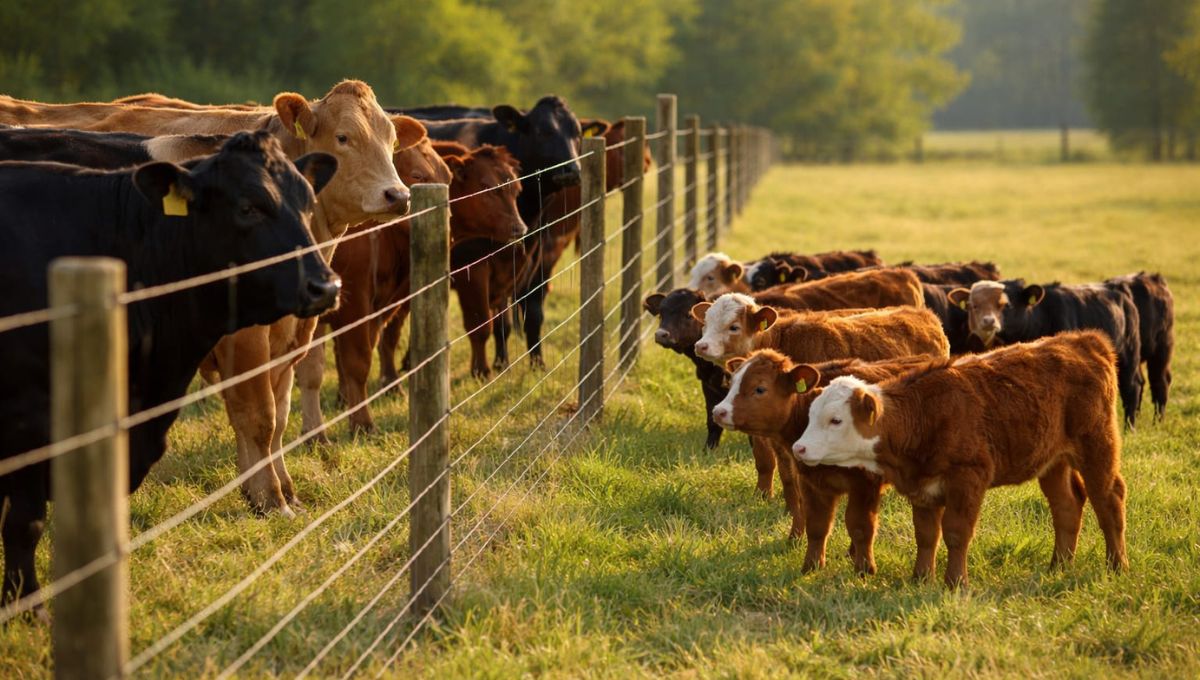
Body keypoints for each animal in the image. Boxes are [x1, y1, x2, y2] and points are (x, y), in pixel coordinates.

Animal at [0, 131, 339, 609]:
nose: (325, 285)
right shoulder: (27, 424)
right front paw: (29, 611)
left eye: (308, 204)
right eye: (247, 207)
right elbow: (23, 526)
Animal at [712, 350, 933, 572]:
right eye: (732, 382)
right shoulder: (811, 481)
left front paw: (864, 569)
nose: (718, 411)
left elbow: (860, 526)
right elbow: (817, 525)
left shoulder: (865, 483)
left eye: (760, 388)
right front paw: (812, 566)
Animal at [793, 331, 1129, 587]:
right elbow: (926, 534)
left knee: (1108, 499)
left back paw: (1117, 565)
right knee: (1066, 506)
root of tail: (1082, 340)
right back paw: (1059, 565)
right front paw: (920, 578)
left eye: (836, 420)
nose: (799, 448)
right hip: (1054, 461)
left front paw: (955, 582)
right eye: (810, 415)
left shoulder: (967, 479)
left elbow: (956, 533)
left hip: (1097, 445)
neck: (924, 414)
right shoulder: (923, 487)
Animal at [947, 279, 1143, 427]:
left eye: (1006, 305)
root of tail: (1118, 289)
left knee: (1132, 388)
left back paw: (1130, 428)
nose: (988, 321)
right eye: (973, 305)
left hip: (1129, 356)